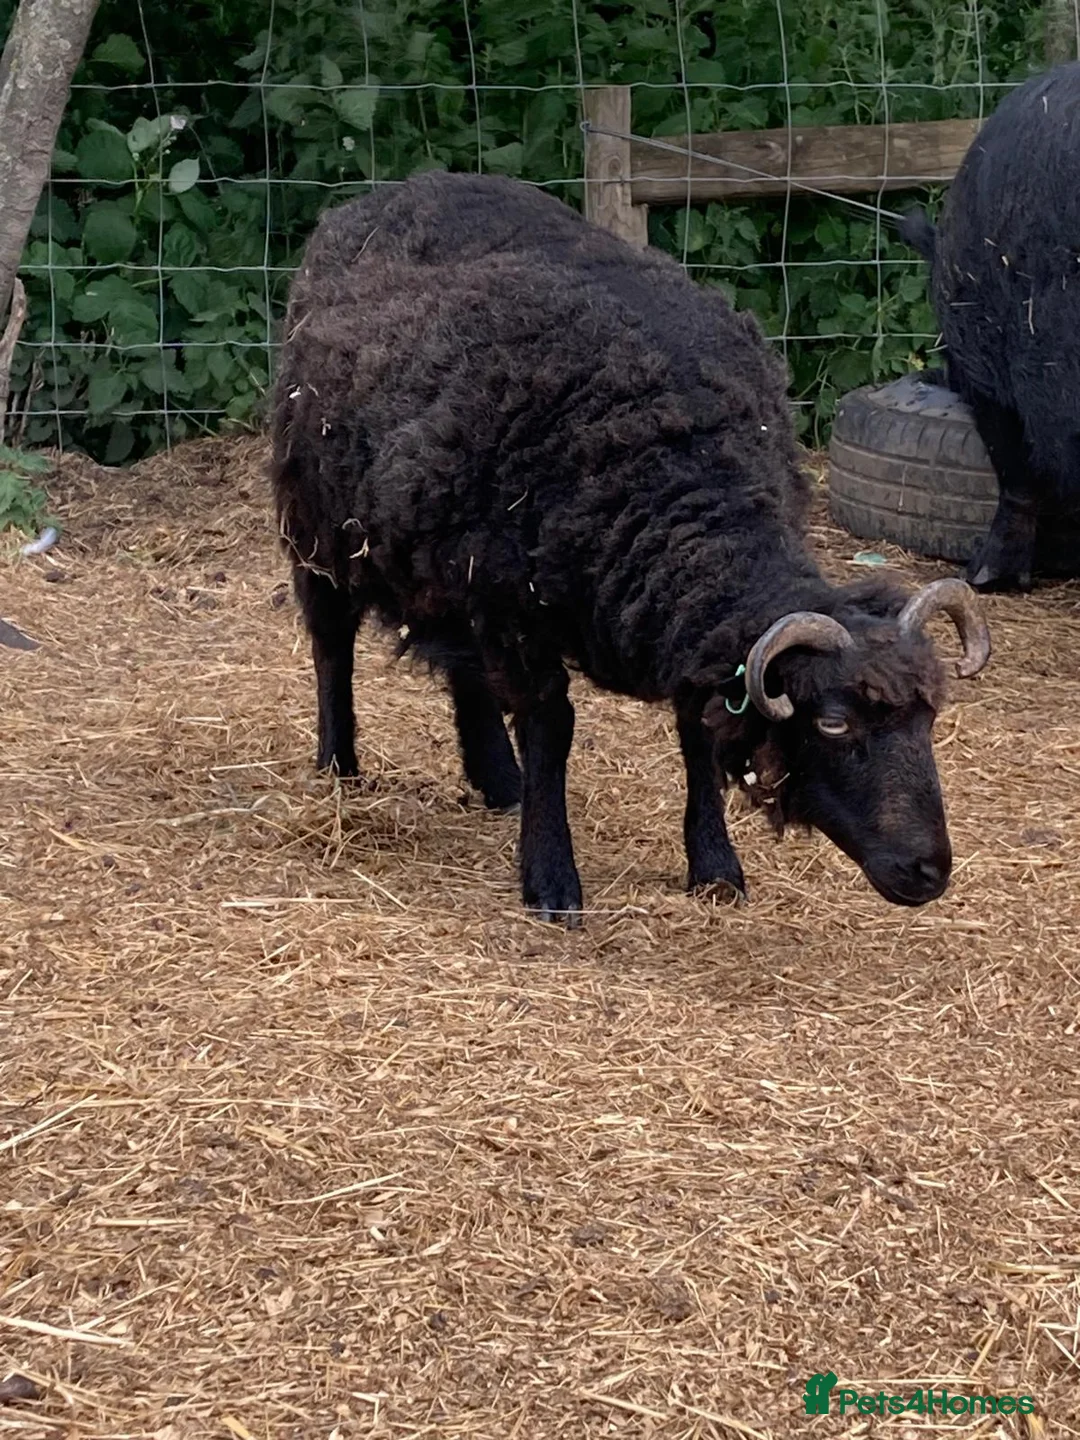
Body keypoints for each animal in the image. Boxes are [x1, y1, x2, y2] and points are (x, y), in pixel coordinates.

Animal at [271, 170, 990, 924]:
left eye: (929, 719)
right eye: (833, 724)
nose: (928, 871)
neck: (684, 469)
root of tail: (393, 190)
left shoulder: (678, 631)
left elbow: (699, 735)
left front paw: (715, 867)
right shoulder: (515, 613)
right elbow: (551, 728)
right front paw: (552, 880)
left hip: (446, 560)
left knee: (460, 662)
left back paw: (498, 781)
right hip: (321, 524)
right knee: (331, 640)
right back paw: (340, 764)